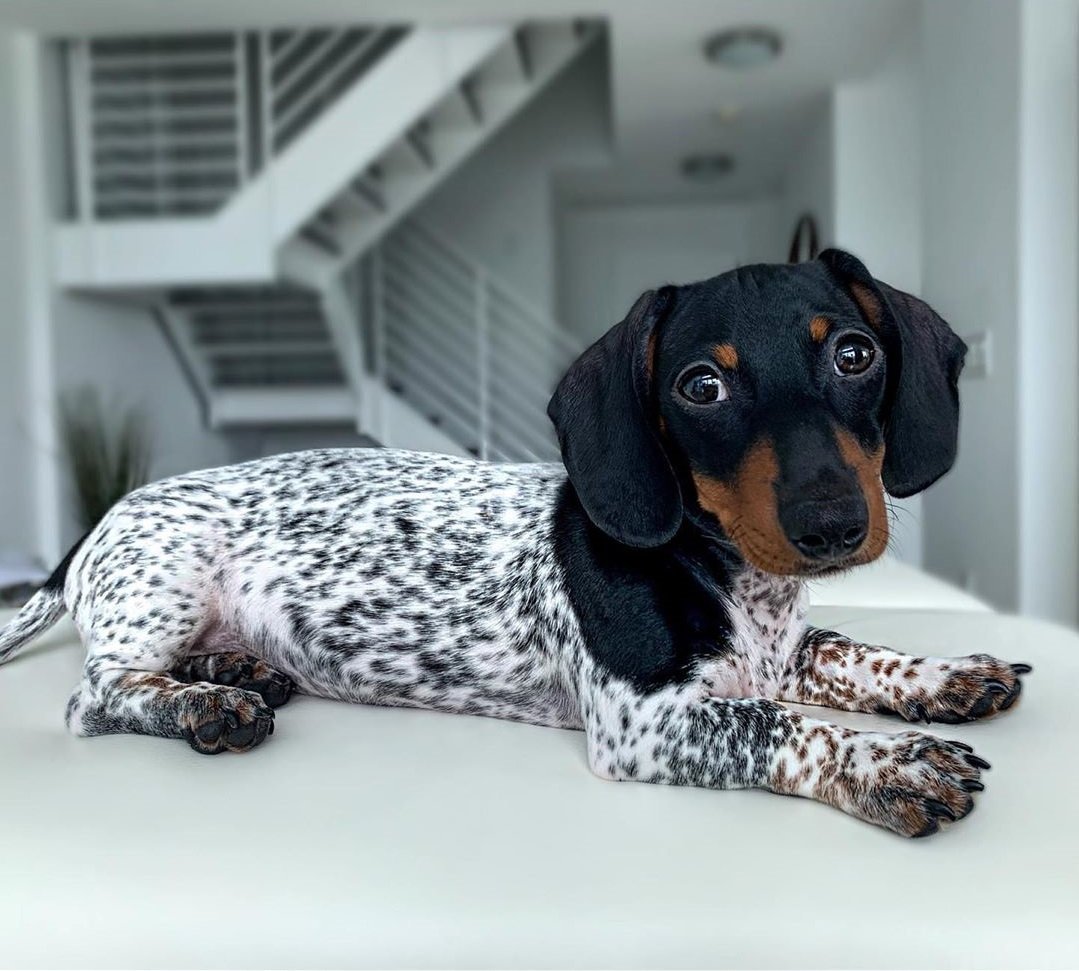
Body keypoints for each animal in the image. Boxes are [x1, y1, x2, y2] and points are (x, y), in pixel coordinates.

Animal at [0, 248, 1029, 837]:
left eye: (855, 353)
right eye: (701, 384)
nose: (832, 524)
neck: (725, 573)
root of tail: (93, 528)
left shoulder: (780, 650)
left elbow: (846, 649)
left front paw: (942, 673)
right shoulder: (644, 723)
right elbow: (782, 724)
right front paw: (884, 762)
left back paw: (234, 671)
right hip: (166, 590)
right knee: (95, 696)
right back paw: (203, 705)